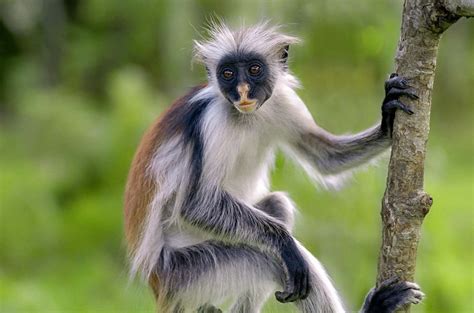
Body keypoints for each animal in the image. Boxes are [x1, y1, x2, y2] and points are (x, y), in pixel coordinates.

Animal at [124, 22, 424, 312]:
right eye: (227, 73)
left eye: (254, 69)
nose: (242, 91)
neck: (247, 116)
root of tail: (156, 285)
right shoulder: (212, 119)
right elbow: (196, 204)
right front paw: (284, 242)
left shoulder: (282, 100)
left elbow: (324, 158)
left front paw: (388, 121)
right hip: (184, 275)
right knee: (269, 260)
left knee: (278, 207)